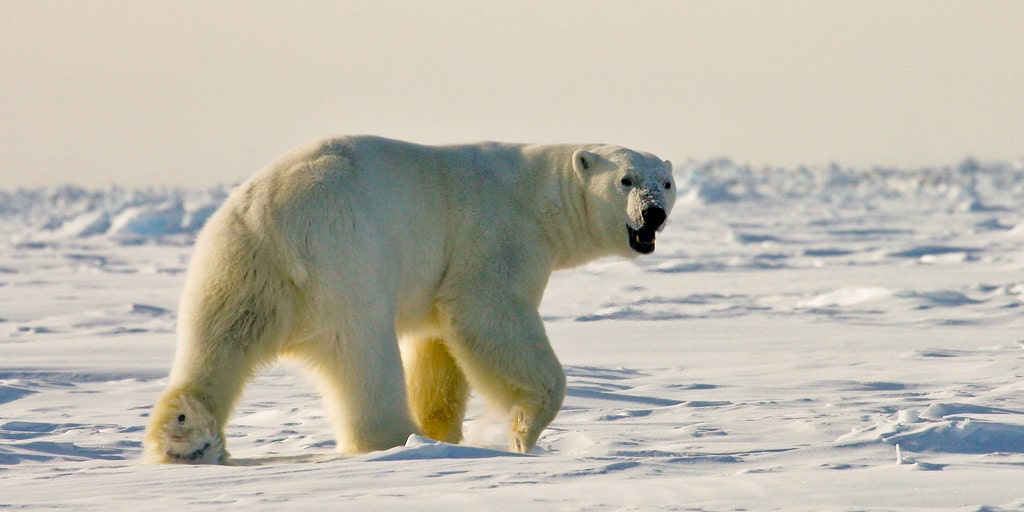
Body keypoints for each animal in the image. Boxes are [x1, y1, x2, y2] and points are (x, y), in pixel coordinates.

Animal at [143, 135, 675, 463]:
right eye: (626, 180)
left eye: (665, 182)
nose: (654, 213)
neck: (538, 194)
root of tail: (271, 216)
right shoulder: (496, 235)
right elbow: (490, 314)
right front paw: (524, 430)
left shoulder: (441, 276)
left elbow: (441, 345)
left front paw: (443, 433)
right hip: (345, 255)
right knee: (363, 353)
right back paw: (393, 438)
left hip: (236, 264)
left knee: (219, 341)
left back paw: (187, 435)